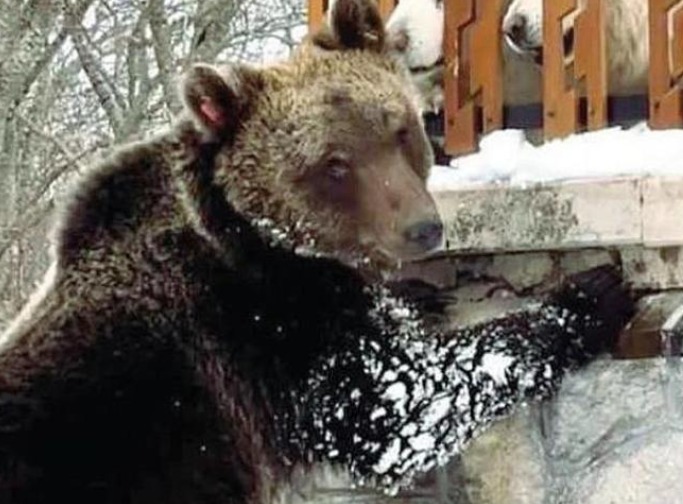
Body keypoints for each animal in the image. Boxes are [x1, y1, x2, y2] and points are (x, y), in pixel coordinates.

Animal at [0, 0, 633, 503]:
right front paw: (591, 295)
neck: (259, 240)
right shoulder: (273, 334)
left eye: (398, 130)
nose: (423, 228)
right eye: (334, 164)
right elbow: (404, 402)